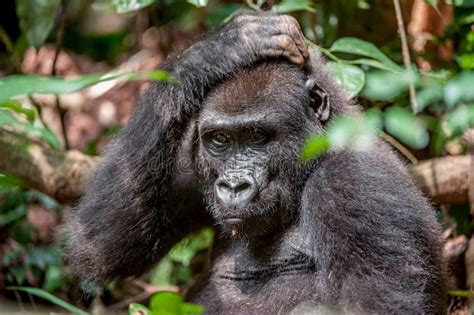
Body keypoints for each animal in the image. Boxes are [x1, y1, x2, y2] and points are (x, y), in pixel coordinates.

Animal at [65, 13, 446, 314]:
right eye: (220, 140)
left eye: (258, 136)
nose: (234, 185)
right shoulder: (191, 160)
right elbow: (101, 244)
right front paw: (224, 47)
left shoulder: (355, 185)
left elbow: (372, 305)